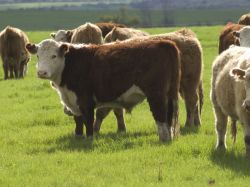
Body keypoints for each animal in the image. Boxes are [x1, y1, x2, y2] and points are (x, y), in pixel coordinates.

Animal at [26, 39, 181, 142]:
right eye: (38, 56)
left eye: (54, 56)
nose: (41, 72)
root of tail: (166, 43)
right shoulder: (73, 100)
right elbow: (78, 120)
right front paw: (78, 137)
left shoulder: (85, 100)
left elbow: (88, 120)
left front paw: (89, 139)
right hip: (169, 94)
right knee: (169, 115)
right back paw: (170, 137)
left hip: (156, 94)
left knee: (160, 116)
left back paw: (163, 139)